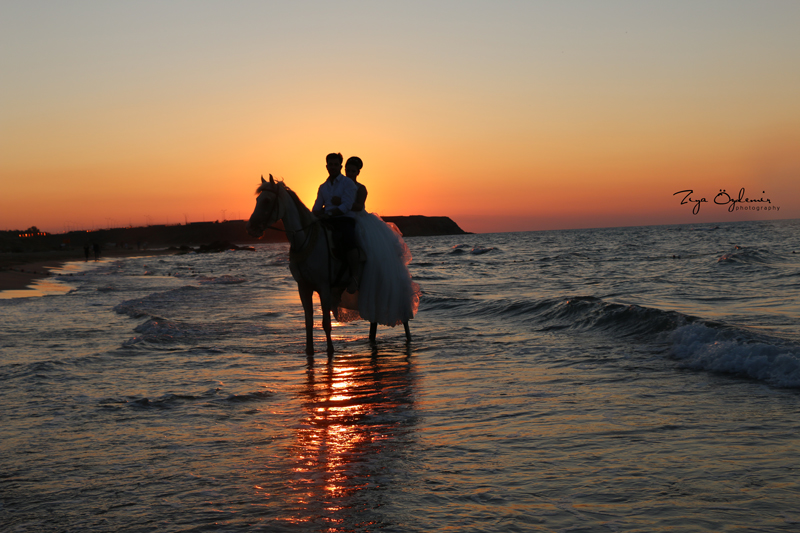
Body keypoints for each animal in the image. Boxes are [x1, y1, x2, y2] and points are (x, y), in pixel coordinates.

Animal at [245, 177, 412, 356]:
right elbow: (309, 322)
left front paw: (330, 350)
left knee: (401, 310)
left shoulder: (324, 287)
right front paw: (309, 351)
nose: (251, 228)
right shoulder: (303, 287)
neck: (306, 241)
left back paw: (408, 337)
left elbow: (326, 323)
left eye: (267, 200)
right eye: (257, 199)